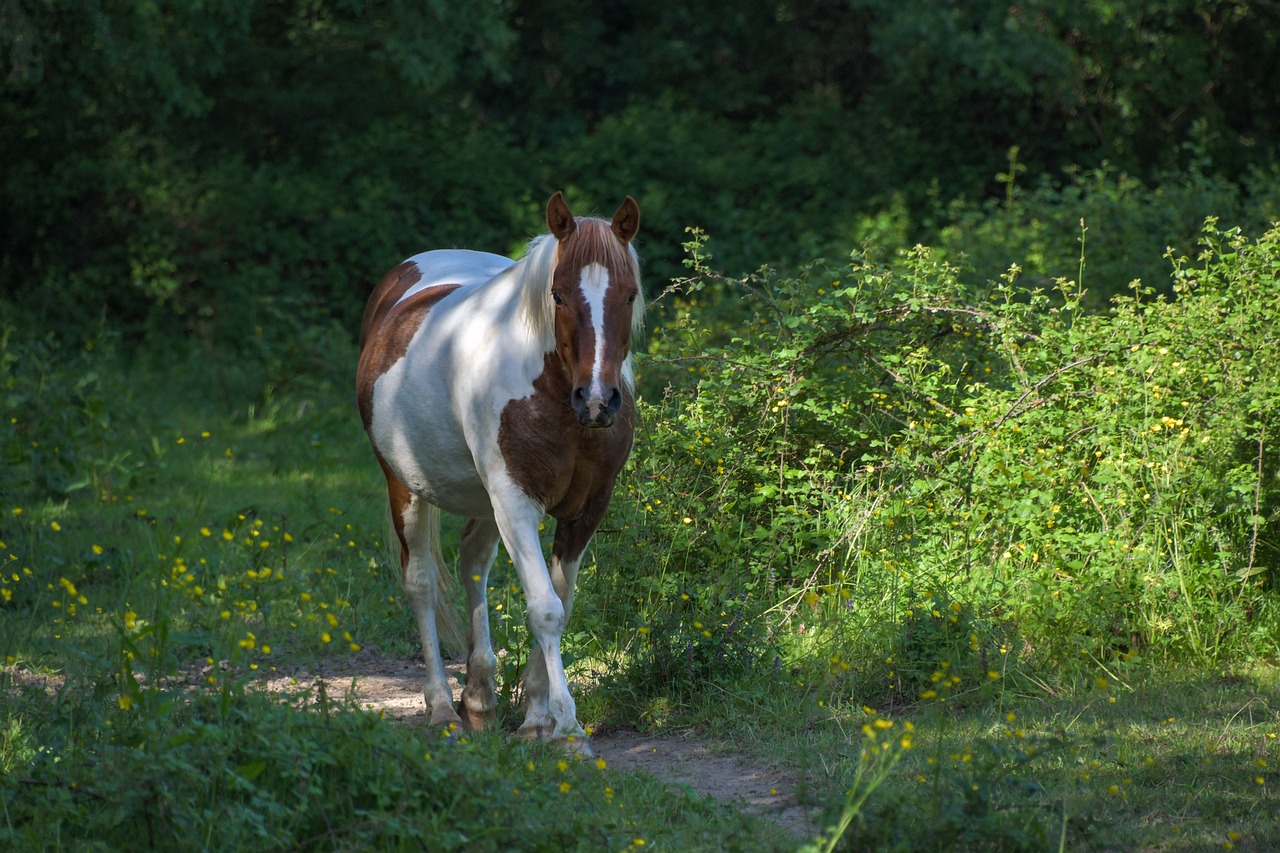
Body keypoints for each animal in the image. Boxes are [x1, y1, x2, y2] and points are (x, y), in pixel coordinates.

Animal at [355, 190, 640, 753]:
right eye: (557, 295)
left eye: (631, 294)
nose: (598, 401)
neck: (553, 395)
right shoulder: (515, 501)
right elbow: (545, 608)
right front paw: (568, 729)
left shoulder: (587, 507)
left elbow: (560, 603)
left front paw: (536, 718)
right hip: (406, 488)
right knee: (421, 582)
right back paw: (444, 709)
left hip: (483, 500)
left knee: (472, 564)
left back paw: (480, 699)